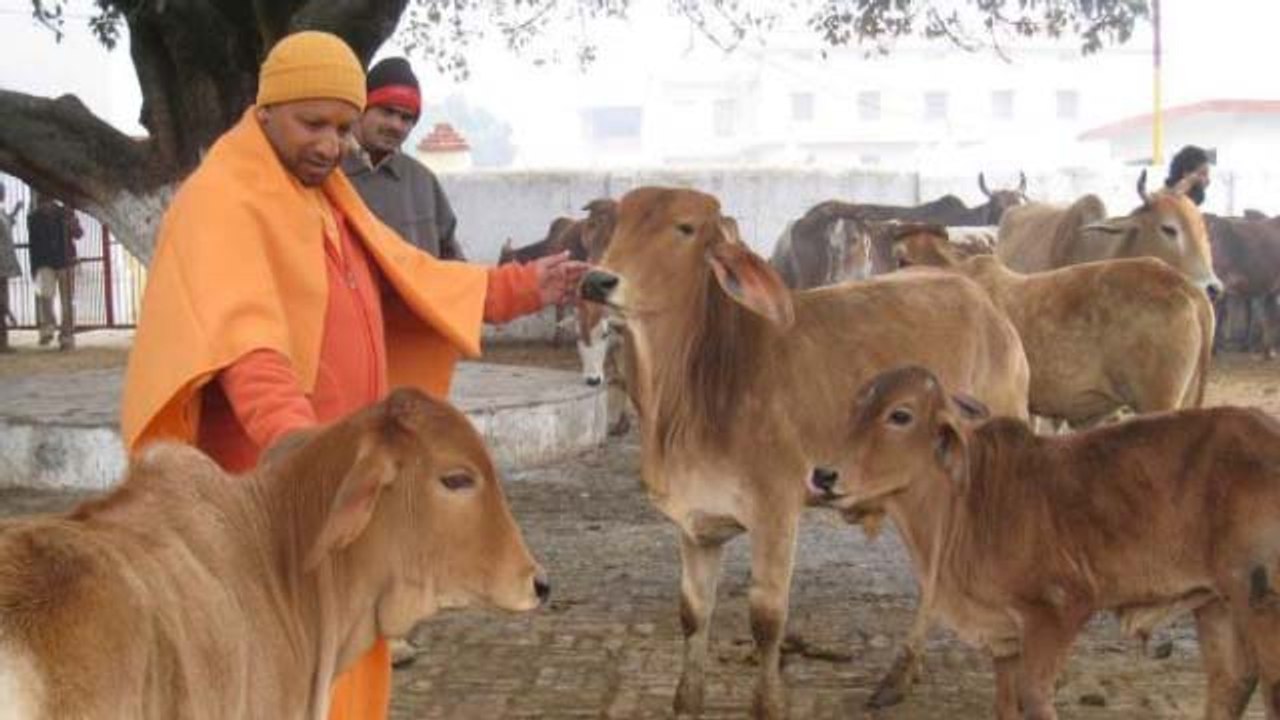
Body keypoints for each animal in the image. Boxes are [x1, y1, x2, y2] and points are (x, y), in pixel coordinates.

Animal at [579, 186, 1030, 717]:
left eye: (684, 227)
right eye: (619, 223)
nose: (598, 280)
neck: (694, 387)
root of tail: (984, 303)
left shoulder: (776, 511)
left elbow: (766, 619)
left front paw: (769, 703)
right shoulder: (696, 522)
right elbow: (693, 613)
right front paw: (687, 699)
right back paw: (901, 674)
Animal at [811, 365, 1280, 720]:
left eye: (900, 415)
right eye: (855, 407)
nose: (823, 475)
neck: (966, 500)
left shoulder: (1053, 613)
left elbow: (1035, 699)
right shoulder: (1003, 637)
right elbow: (1005, 705)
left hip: (1259, 600)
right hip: (1215, 602)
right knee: (1231, 683)